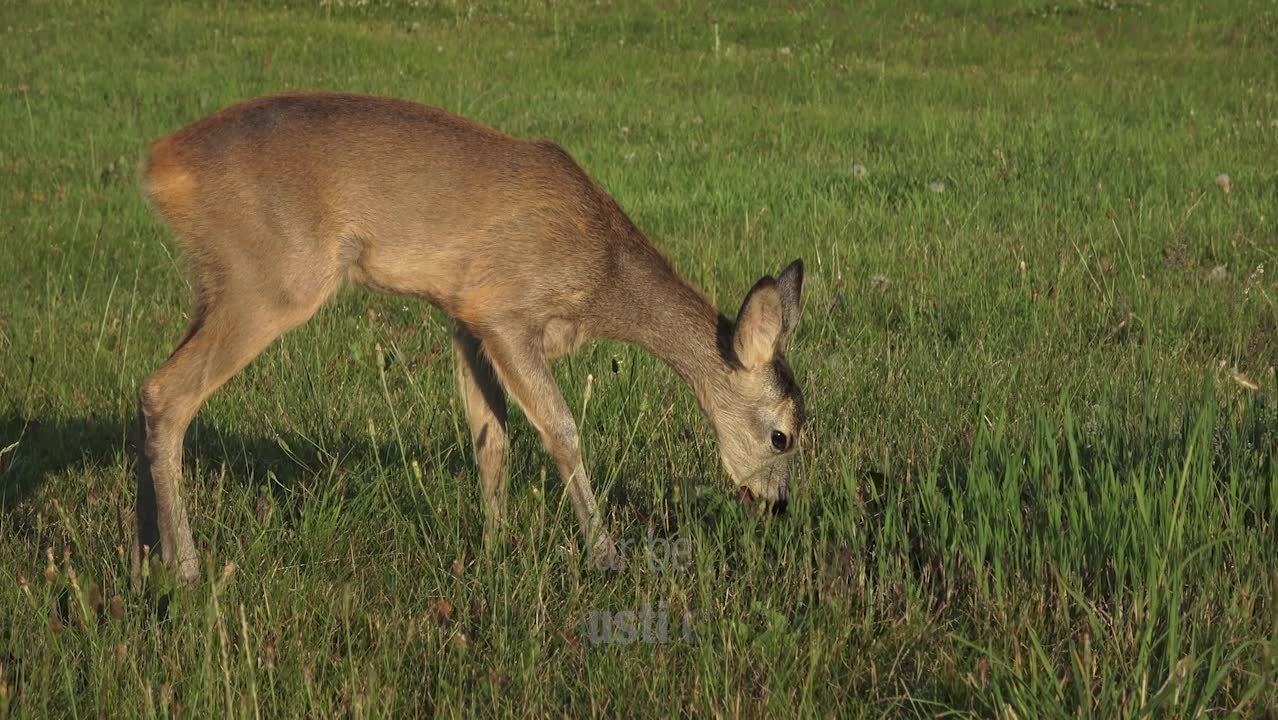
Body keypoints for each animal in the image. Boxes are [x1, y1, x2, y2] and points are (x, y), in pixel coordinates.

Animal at [134, 92, 802, 583]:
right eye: (782, 436)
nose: (777, 506)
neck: (603, 272)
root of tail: (161, 163)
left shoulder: (466, 317)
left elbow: (492, 436)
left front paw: (495, 547)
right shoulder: (507, 309)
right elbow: (561, 430)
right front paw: (606, 556)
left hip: (215, 284)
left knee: (150, 391)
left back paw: (146, 557)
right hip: (273, 278)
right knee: (167, 393)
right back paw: (188, 570)